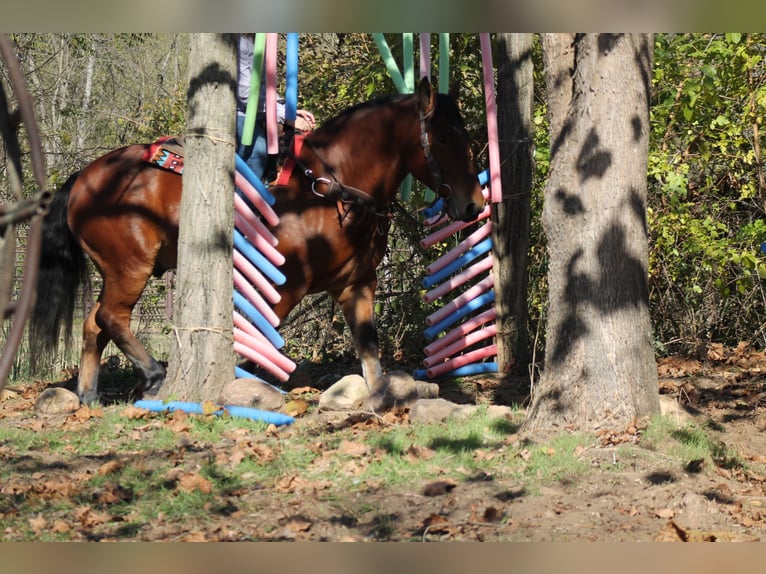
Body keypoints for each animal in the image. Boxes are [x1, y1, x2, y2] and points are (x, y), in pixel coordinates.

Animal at [30, 76, 485, 405]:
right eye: (443, 138)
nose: (473, 204)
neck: (329, 190)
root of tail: (83, 178)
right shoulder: (283, 287)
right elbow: (260, 338)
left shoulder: (357, 285)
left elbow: (369, 349)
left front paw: (379, 400)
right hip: (130, 266)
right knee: (111, 317)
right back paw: (155, 376)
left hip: (117, 270)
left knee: (93, 323)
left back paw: (88, 395)